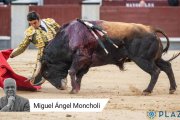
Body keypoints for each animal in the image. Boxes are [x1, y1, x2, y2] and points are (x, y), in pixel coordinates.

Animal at [32, 19, 179, 94]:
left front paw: (73, 90)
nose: (60, 87)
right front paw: (77, 88)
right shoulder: (86, 62)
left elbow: (72, 71)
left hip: (143, 59)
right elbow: (79, 74)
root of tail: (151, 29)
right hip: (155, 58)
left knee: (155, 71)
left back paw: (147, 90)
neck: (67, 38)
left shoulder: (80, 58)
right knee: (167, 66)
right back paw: (172, 88)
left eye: (46, 73)